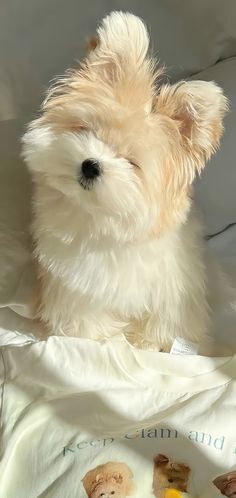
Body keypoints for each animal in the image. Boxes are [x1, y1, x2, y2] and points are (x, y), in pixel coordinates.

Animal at [22, 9, 229, 348]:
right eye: (86, 131)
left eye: (132, 163)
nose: (90, 165)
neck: (104, 222)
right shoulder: (75, 290)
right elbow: (87, 323)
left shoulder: (171, 293)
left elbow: (160, 326)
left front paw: (150, 344)